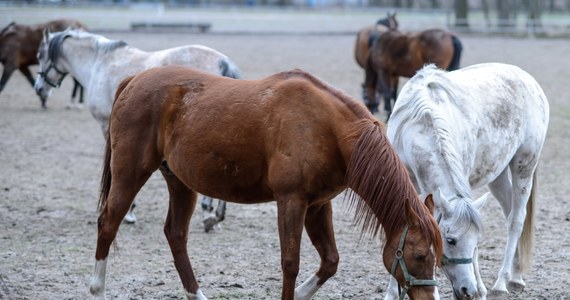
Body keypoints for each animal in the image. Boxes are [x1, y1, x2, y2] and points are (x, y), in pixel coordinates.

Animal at [33, 28, 239, 230]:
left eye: (40, 55)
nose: (39, 89)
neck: (99, 63)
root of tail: (224, 62)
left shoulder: (107, 127)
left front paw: (130, 212)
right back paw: (215, 216)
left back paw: (209, 214)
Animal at [90, 65, 444, 300]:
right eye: (419, 256)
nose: (430, 298)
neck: (328, 128)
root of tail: (134, 80)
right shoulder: (292, 201)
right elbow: (290, 263)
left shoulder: (318, 206)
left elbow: (330, 261)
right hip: (130, 174)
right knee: (108, 223)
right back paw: (97, 289)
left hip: (180, 183)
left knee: (176, 235)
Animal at [384, 62, 548, 298]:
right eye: (450, 240)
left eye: (476, 241)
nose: (466, 289)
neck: (420, 123)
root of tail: (527, 78)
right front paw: (392, 292)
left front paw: (479, 289)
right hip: (497, 176)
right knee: (511, 212)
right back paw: (516, 275)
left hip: (524, 165)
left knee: (517, 220)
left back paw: (502, 282)